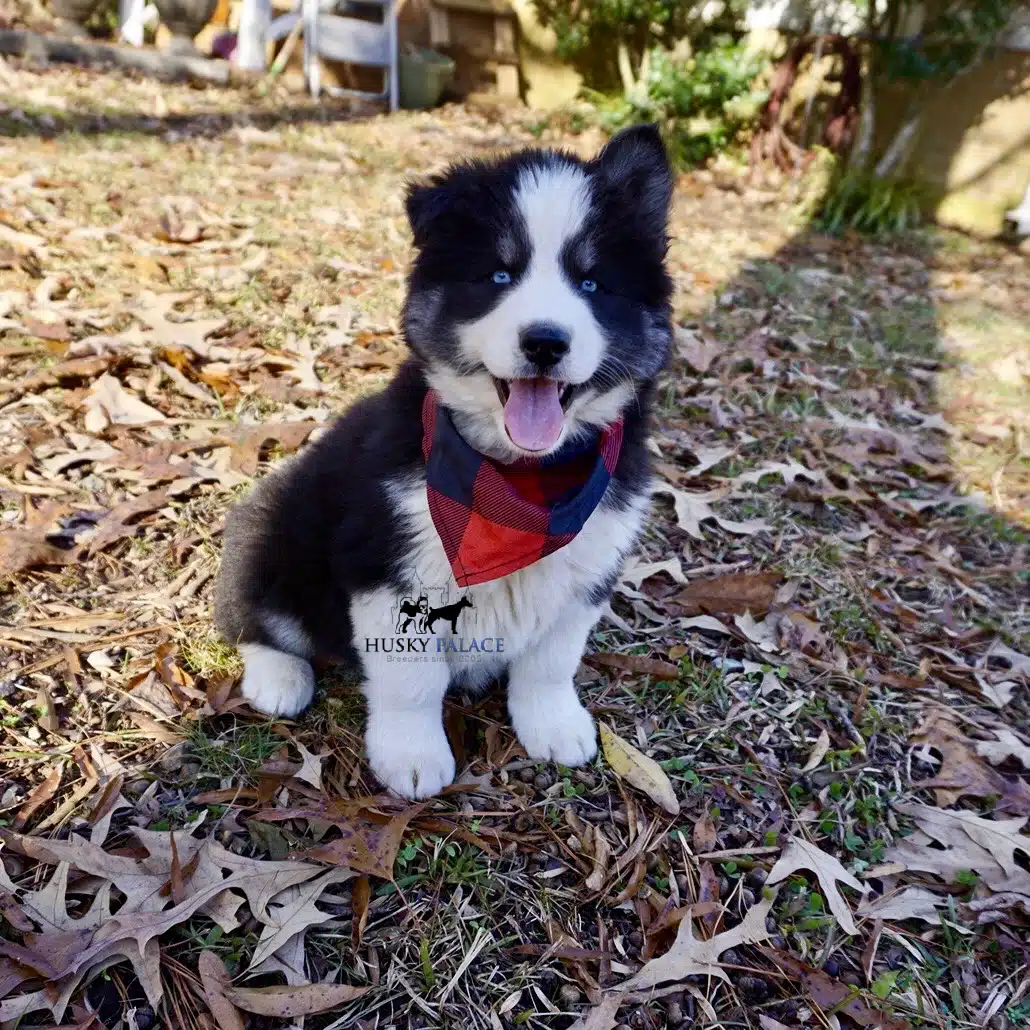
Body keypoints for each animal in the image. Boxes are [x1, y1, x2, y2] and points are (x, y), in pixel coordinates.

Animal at [215, 120, 675, 795]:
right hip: (272, 533)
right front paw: (411, 758)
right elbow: (412, 679)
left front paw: (554, 726)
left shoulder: (588, 568)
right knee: (255, 618)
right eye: (499, 276)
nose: (545, 341)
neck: (523, 480)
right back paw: (280, 679)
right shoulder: (386, 561)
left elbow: (551, 661)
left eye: (591, 284)